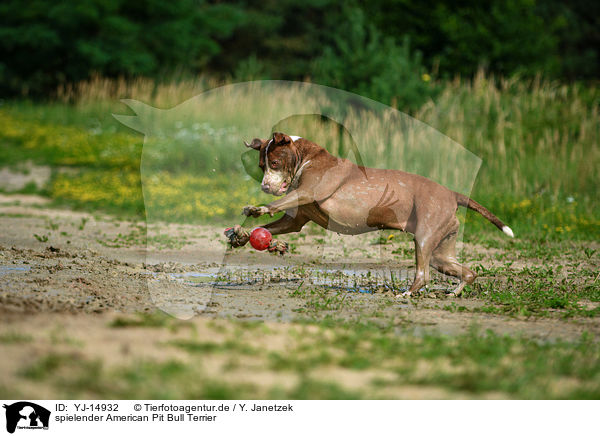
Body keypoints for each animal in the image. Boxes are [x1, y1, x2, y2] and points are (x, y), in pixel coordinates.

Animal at [237, 133, 512, 296]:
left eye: (274, 163)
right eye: (261, 166)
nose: (265, 186)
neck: (306, 158)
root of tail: (452, 194)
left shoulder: (307, 192)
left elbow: (277, 203)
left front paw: (258, 208)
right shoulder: (295, 219)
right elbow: (274, 226)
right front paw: (242, 234)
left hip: (425, 237)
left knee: (423, 274)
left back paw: (407, 294)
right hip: (441, 251)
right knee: (467, 272)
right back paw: (453, 293)